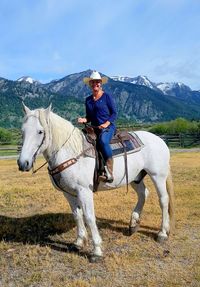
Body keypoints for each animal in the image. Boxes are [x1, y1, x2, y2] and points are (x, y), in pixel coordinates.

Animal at [18, 105, 175, 264]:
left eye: (40, 131)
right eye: (23, 131)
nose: (23, 163)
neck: (71, 152)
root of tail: (159, 140)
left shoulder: (84, 191)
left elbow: (89, 217)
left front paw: (97, 251)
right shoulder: (68, 192)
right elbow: (77, 215)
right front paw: (78, 242)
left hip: (158, 176)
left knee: (163, 200)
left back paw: (162, 233)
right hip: (135, 177)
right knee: (143, 194)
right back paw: (133, 224)